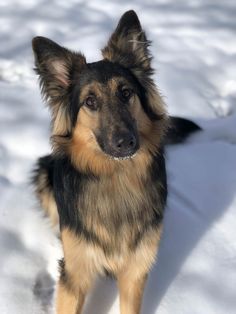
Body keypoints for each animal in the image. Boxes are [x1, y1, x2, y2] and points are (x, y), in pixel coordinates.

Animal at [32, 10, 200, 314]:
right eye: (90, 101)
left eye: (125, 93)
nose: (126, 143)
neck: (115, 177)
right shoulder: (75, 272)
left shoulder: (135, 270)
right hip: (43, 173)